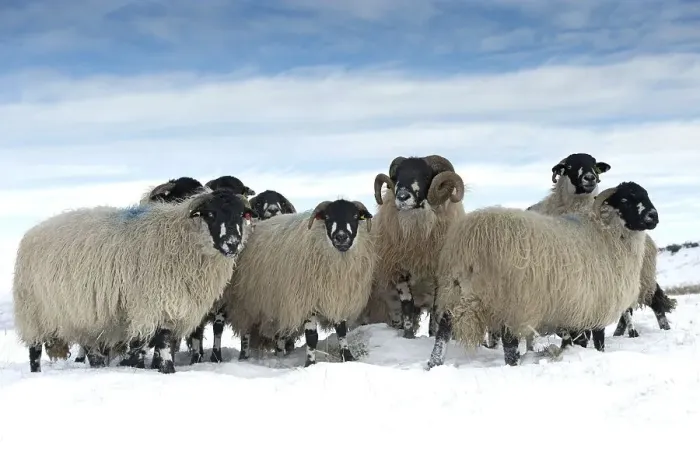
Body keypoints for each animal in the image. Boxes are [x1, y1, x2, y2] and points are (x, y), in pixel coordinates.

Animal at [13, 189, 255, 374]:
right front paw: (165, 370)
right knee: (34, 350)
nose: (232, 243)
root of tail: (31, 233)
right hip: (33, 311)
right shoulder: (153, 303)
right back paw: (36, 373)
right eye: (211, 214)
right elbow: (159, 343)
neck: (182, 238)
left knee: (91, 349)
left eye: (242, 214)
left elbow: (156, 343)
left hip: (83, 316)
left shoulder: (169, 305)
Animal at [222, 199, 376, 367]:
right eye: (327, 217)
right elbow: (312, 337)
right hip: (245, 303)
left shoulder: (338, 298)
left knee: (280, 334)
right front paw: (310, 363)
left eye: (355, 216)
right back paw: (244, 356)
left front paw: (348, 357)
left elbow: (341, 332)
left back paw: (280, 356)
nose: (341, 237)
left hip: (278, 304)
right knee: (246, 332)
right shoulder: (307, 300)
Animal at [363, 155, 465, 339]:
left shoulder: (440, 277)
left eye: (426, 176)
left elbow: (436, 312)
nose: (402, 197)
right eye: (397, 176)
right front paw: (408, 337)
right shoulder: (399, 272)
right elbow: (407, 307)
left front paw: (432, 336)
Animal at [426, 181, 659, 369]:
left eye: (646, 195)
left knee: (443, 330)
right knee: (510, 346)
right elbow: (599, 342)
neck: (607, 233)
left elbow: (575, 342)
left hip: (453, 290)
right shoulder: (594, 307)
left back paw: (434, 363)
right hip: (510, 301)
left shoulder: (576, 311)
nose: (653, 217)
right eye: (625, 200)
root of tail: (470, 239)